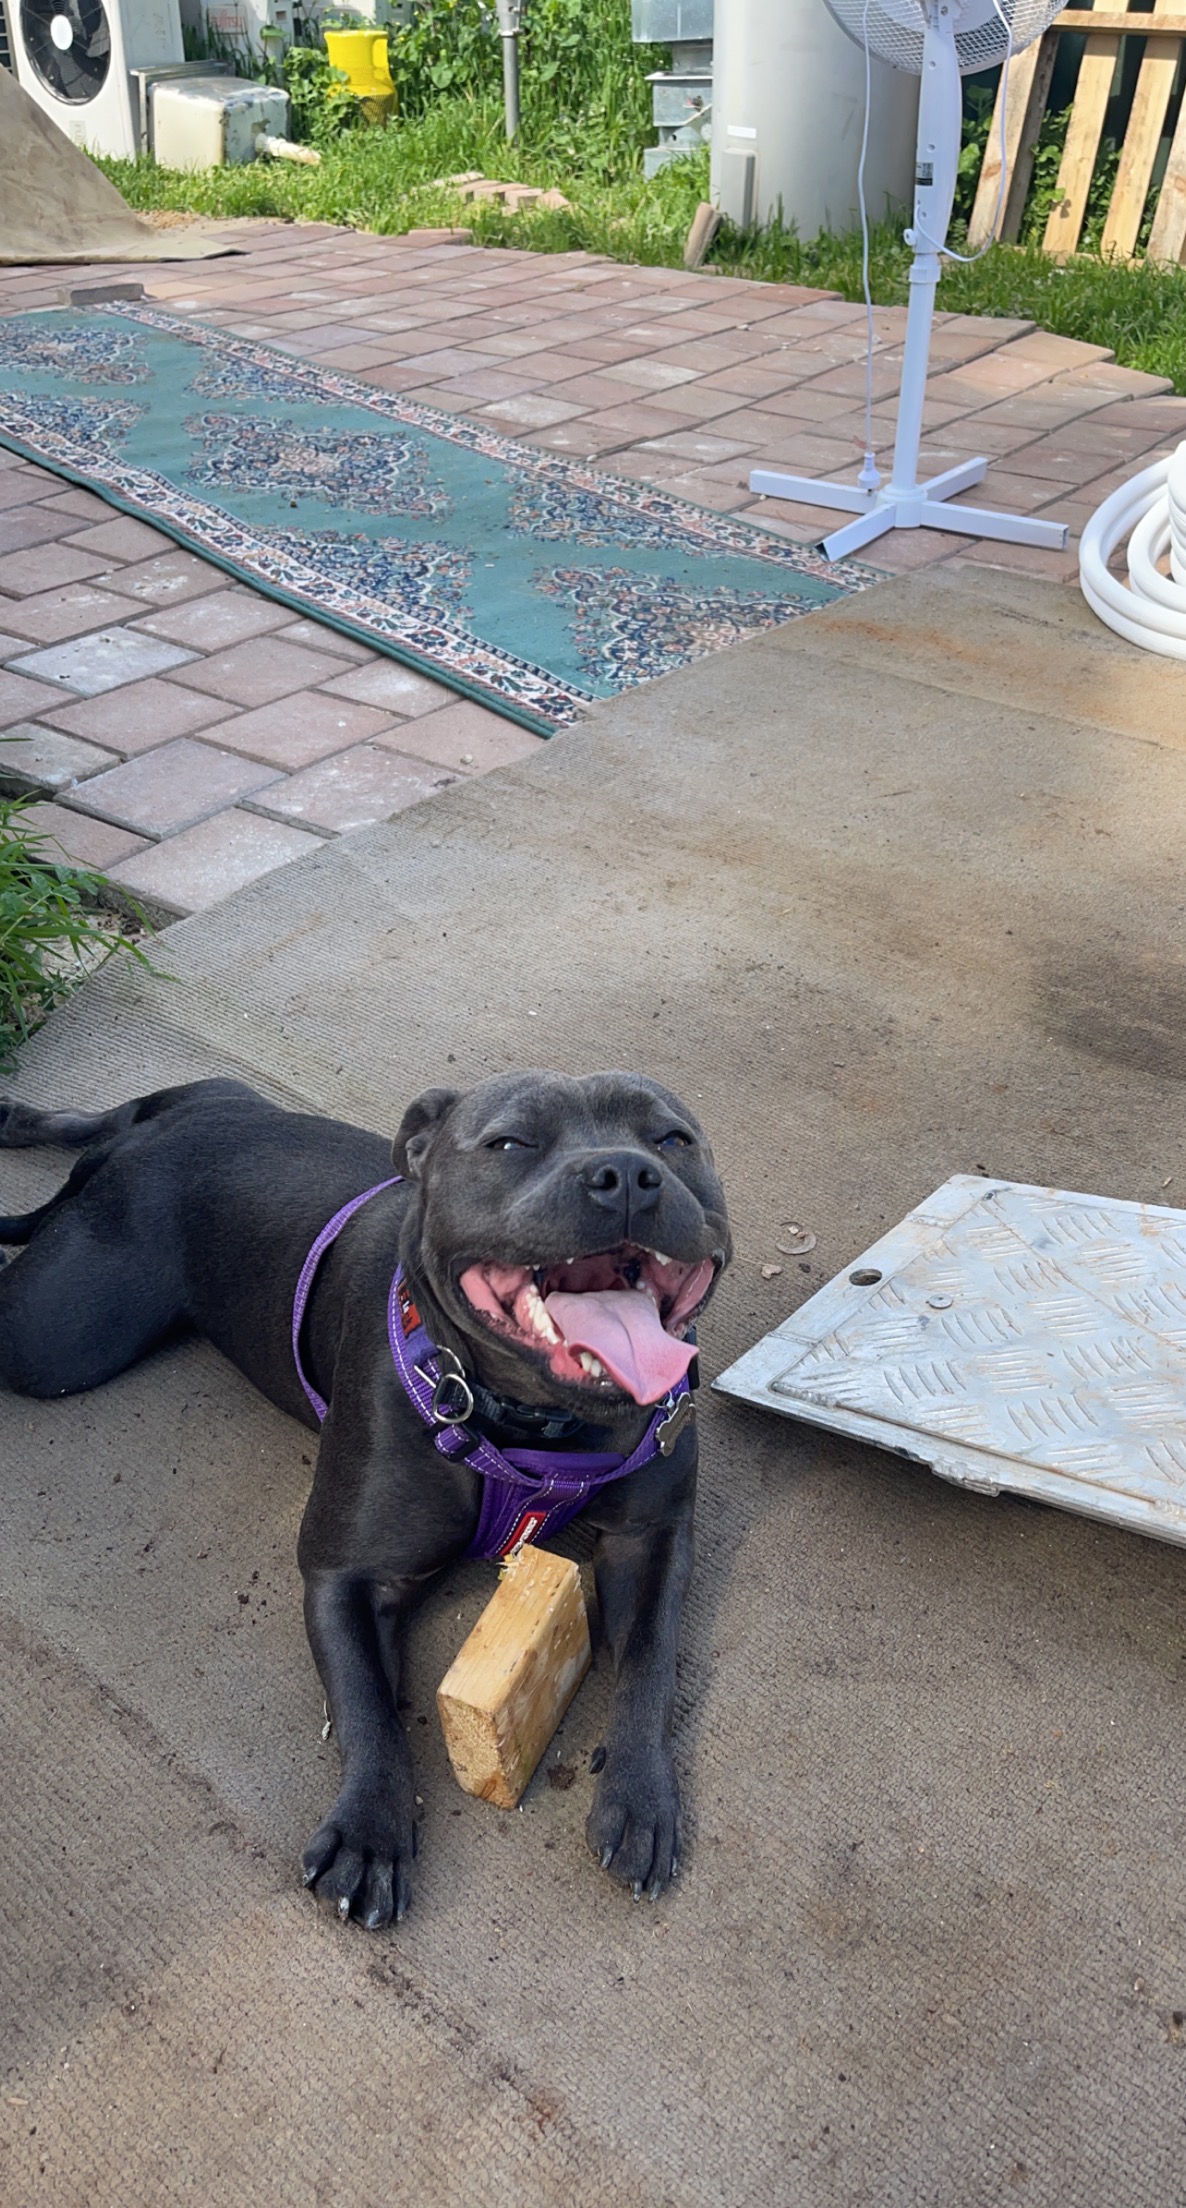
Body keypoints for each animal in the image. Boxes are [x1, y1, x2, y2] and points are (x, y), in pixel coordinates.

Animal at [0, 1070, 731, 1927]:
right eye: (511, 1142)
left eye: (673, 1140)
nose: (625, 1175)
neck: (531, 1421)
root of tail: (142, 1149)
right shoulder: (346, 1576)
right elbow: (367, 1707)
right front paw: (369, 1833)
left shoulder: (651, 1539)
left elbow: (650, 1658)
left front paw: (641, 1795)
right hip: (53, 1336)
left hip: (206, 1106)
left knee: (121, 1111)